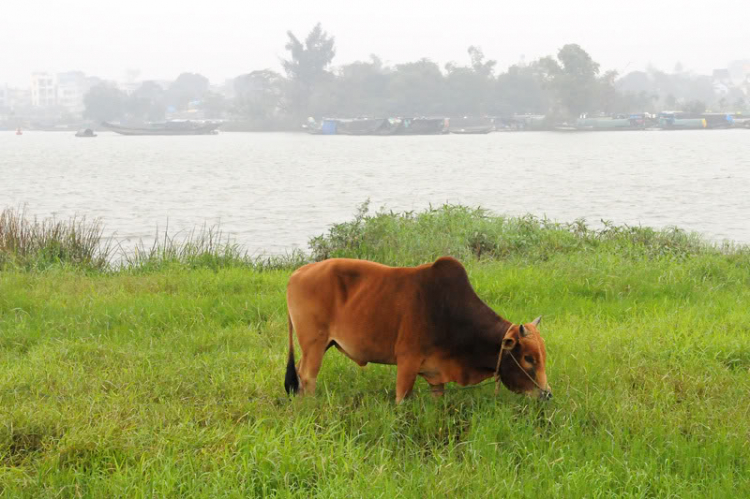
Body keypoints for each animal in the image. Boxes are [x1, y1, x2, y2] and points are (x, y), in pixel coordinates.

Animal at [284, 258, 552, 402]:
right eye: (528, 358)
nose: (547, 394)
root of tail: (298, 272)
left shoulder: (437, 375)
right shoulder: (407, 361)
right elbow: (401, 398)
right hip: (314, 344)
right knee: (307, 377)